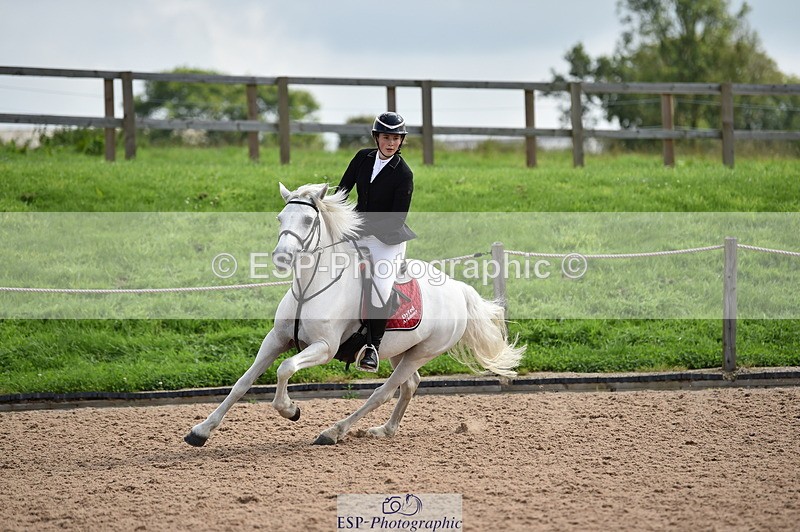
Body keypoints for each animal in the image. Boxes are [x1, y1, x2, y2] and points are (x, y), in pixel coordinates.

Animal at [184, 182, 525, 446]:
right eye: (280, 217)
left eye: (308, 220)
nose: (281, 257)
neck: (309, 287)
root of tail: (458, 290)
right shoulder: (276, 339)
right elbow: (242, 382)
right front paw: (201, 431)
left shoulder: (324, 348)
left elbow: (285, 369)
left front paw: (290, 410)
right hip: (400, 350)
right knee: (409, 385)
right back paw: (386, 430)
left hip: (423, 352)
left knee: (383, 392)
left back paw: (333, 432)